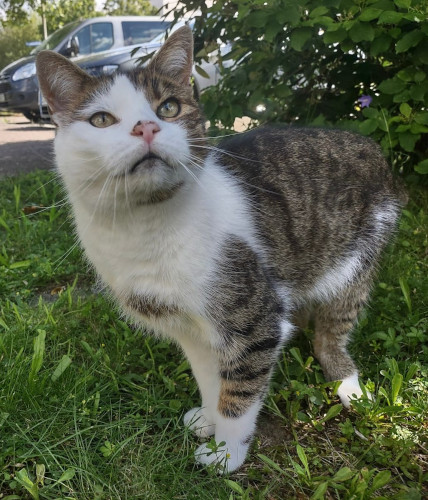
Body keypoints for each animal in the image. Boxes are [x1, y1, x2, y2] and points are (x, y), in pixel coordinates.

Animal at [36, 25, 406, 473]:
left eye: (169, 107)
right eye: (102, 119)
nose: (146, 127)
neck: (146, 226)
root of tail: (370, 144)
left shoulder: (253, 319)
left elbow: (241, 388)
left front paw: (226, 453)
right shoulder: (188, 328)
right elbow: (209, 377)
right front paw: (208, 419)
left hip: (355, 263)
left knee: (331, 334)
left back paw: (349, 385)